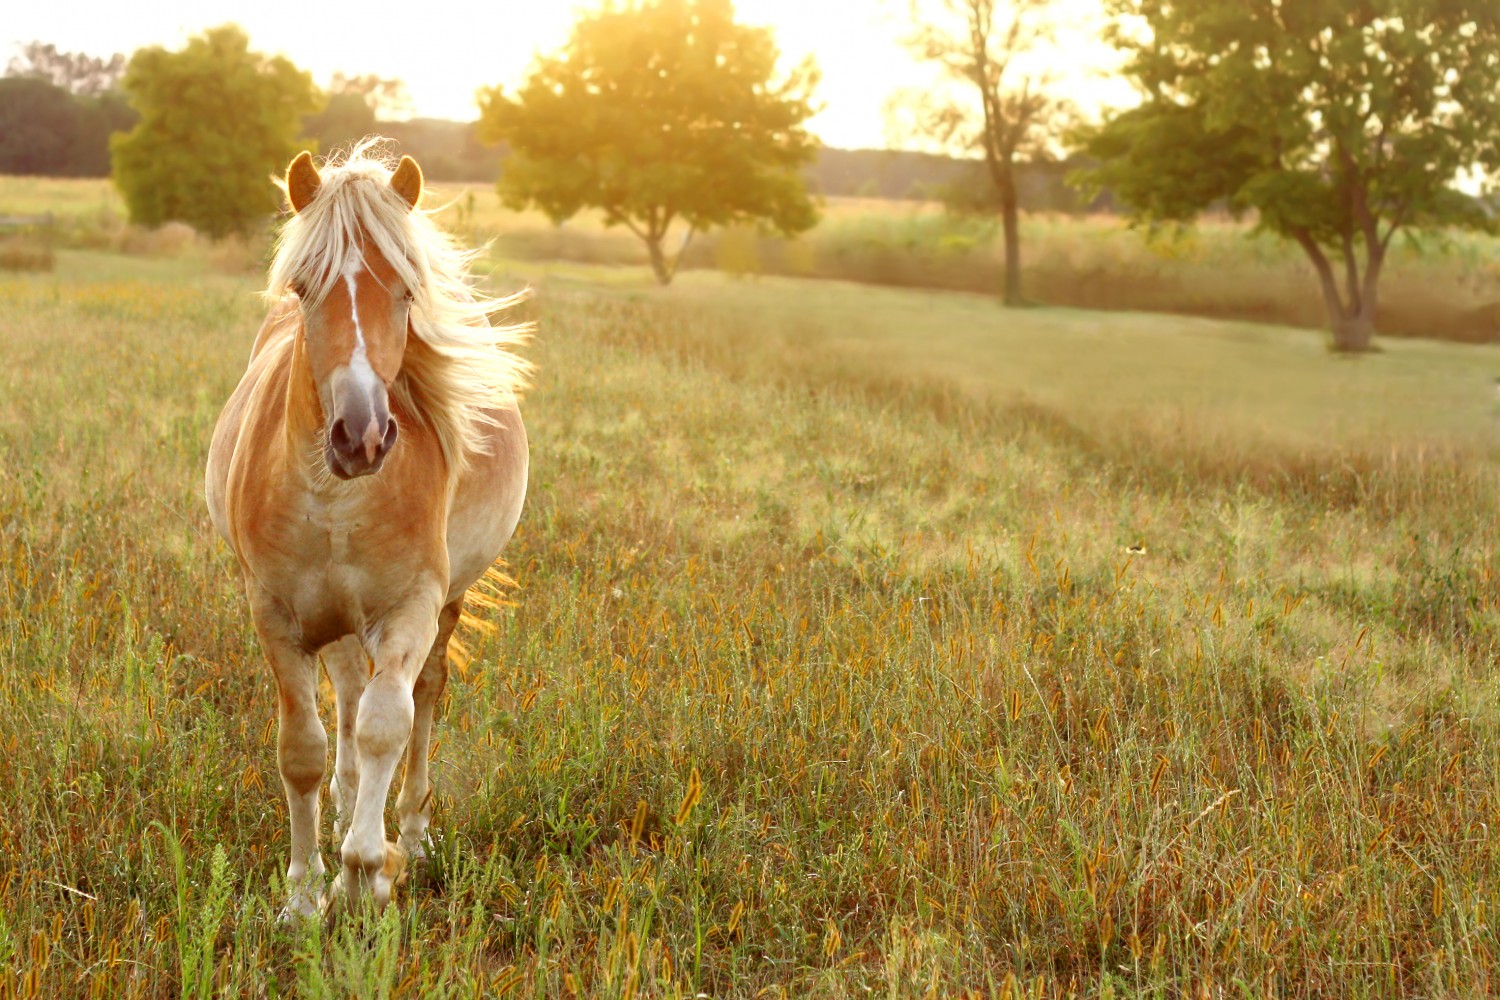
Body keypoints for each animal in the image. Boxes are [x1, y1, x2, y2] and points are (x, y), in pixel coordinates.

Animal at [205, 143, 530, 917]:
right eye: (303, 288)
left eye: (407, 293)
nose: (362, 436)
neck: (333, 497)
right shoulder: (275, 614)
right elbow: (304, 748)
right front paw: (303, 894)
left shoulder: (410, 607)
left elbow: (390, 725)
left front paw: (363, 875)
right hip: (337, 621)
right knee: (348, 696)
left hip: (444, 606)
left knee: (423, 698)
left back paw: (409, 833)